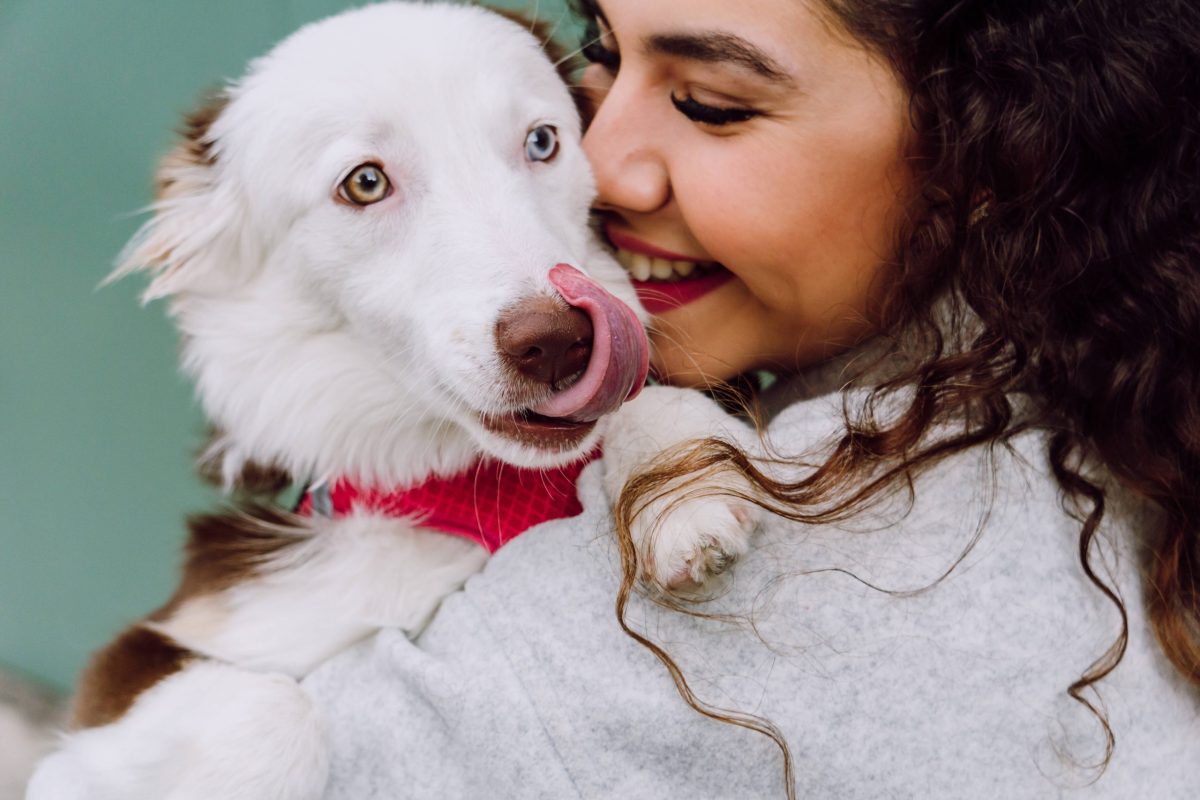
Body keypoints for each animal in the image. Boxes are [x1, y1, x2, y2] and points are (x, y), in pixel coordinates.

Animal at [28, 3, 753, 796]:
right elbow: (272, 707)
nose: (561, 342)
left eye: (542, 141)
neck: (462, 490)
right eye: (366, 182)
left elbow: (647, 405)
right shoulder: (177, 635)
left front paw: (681, 487)